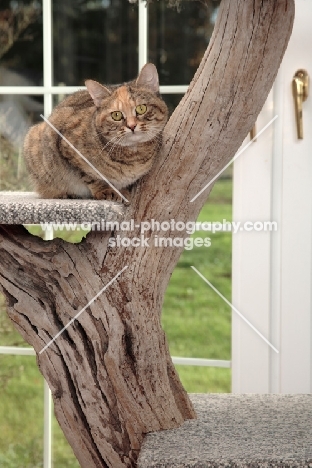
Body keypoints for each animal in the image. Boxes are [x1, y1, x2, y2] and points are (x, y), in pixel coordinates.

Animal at [23, 63, 168, 202]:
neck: (134, 155)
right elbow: (91, 176)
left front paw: (123, 191)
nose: (132, 126)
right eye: (116, 115)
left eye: (141, 108)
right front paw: (106, 190)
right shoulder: (66, 147)